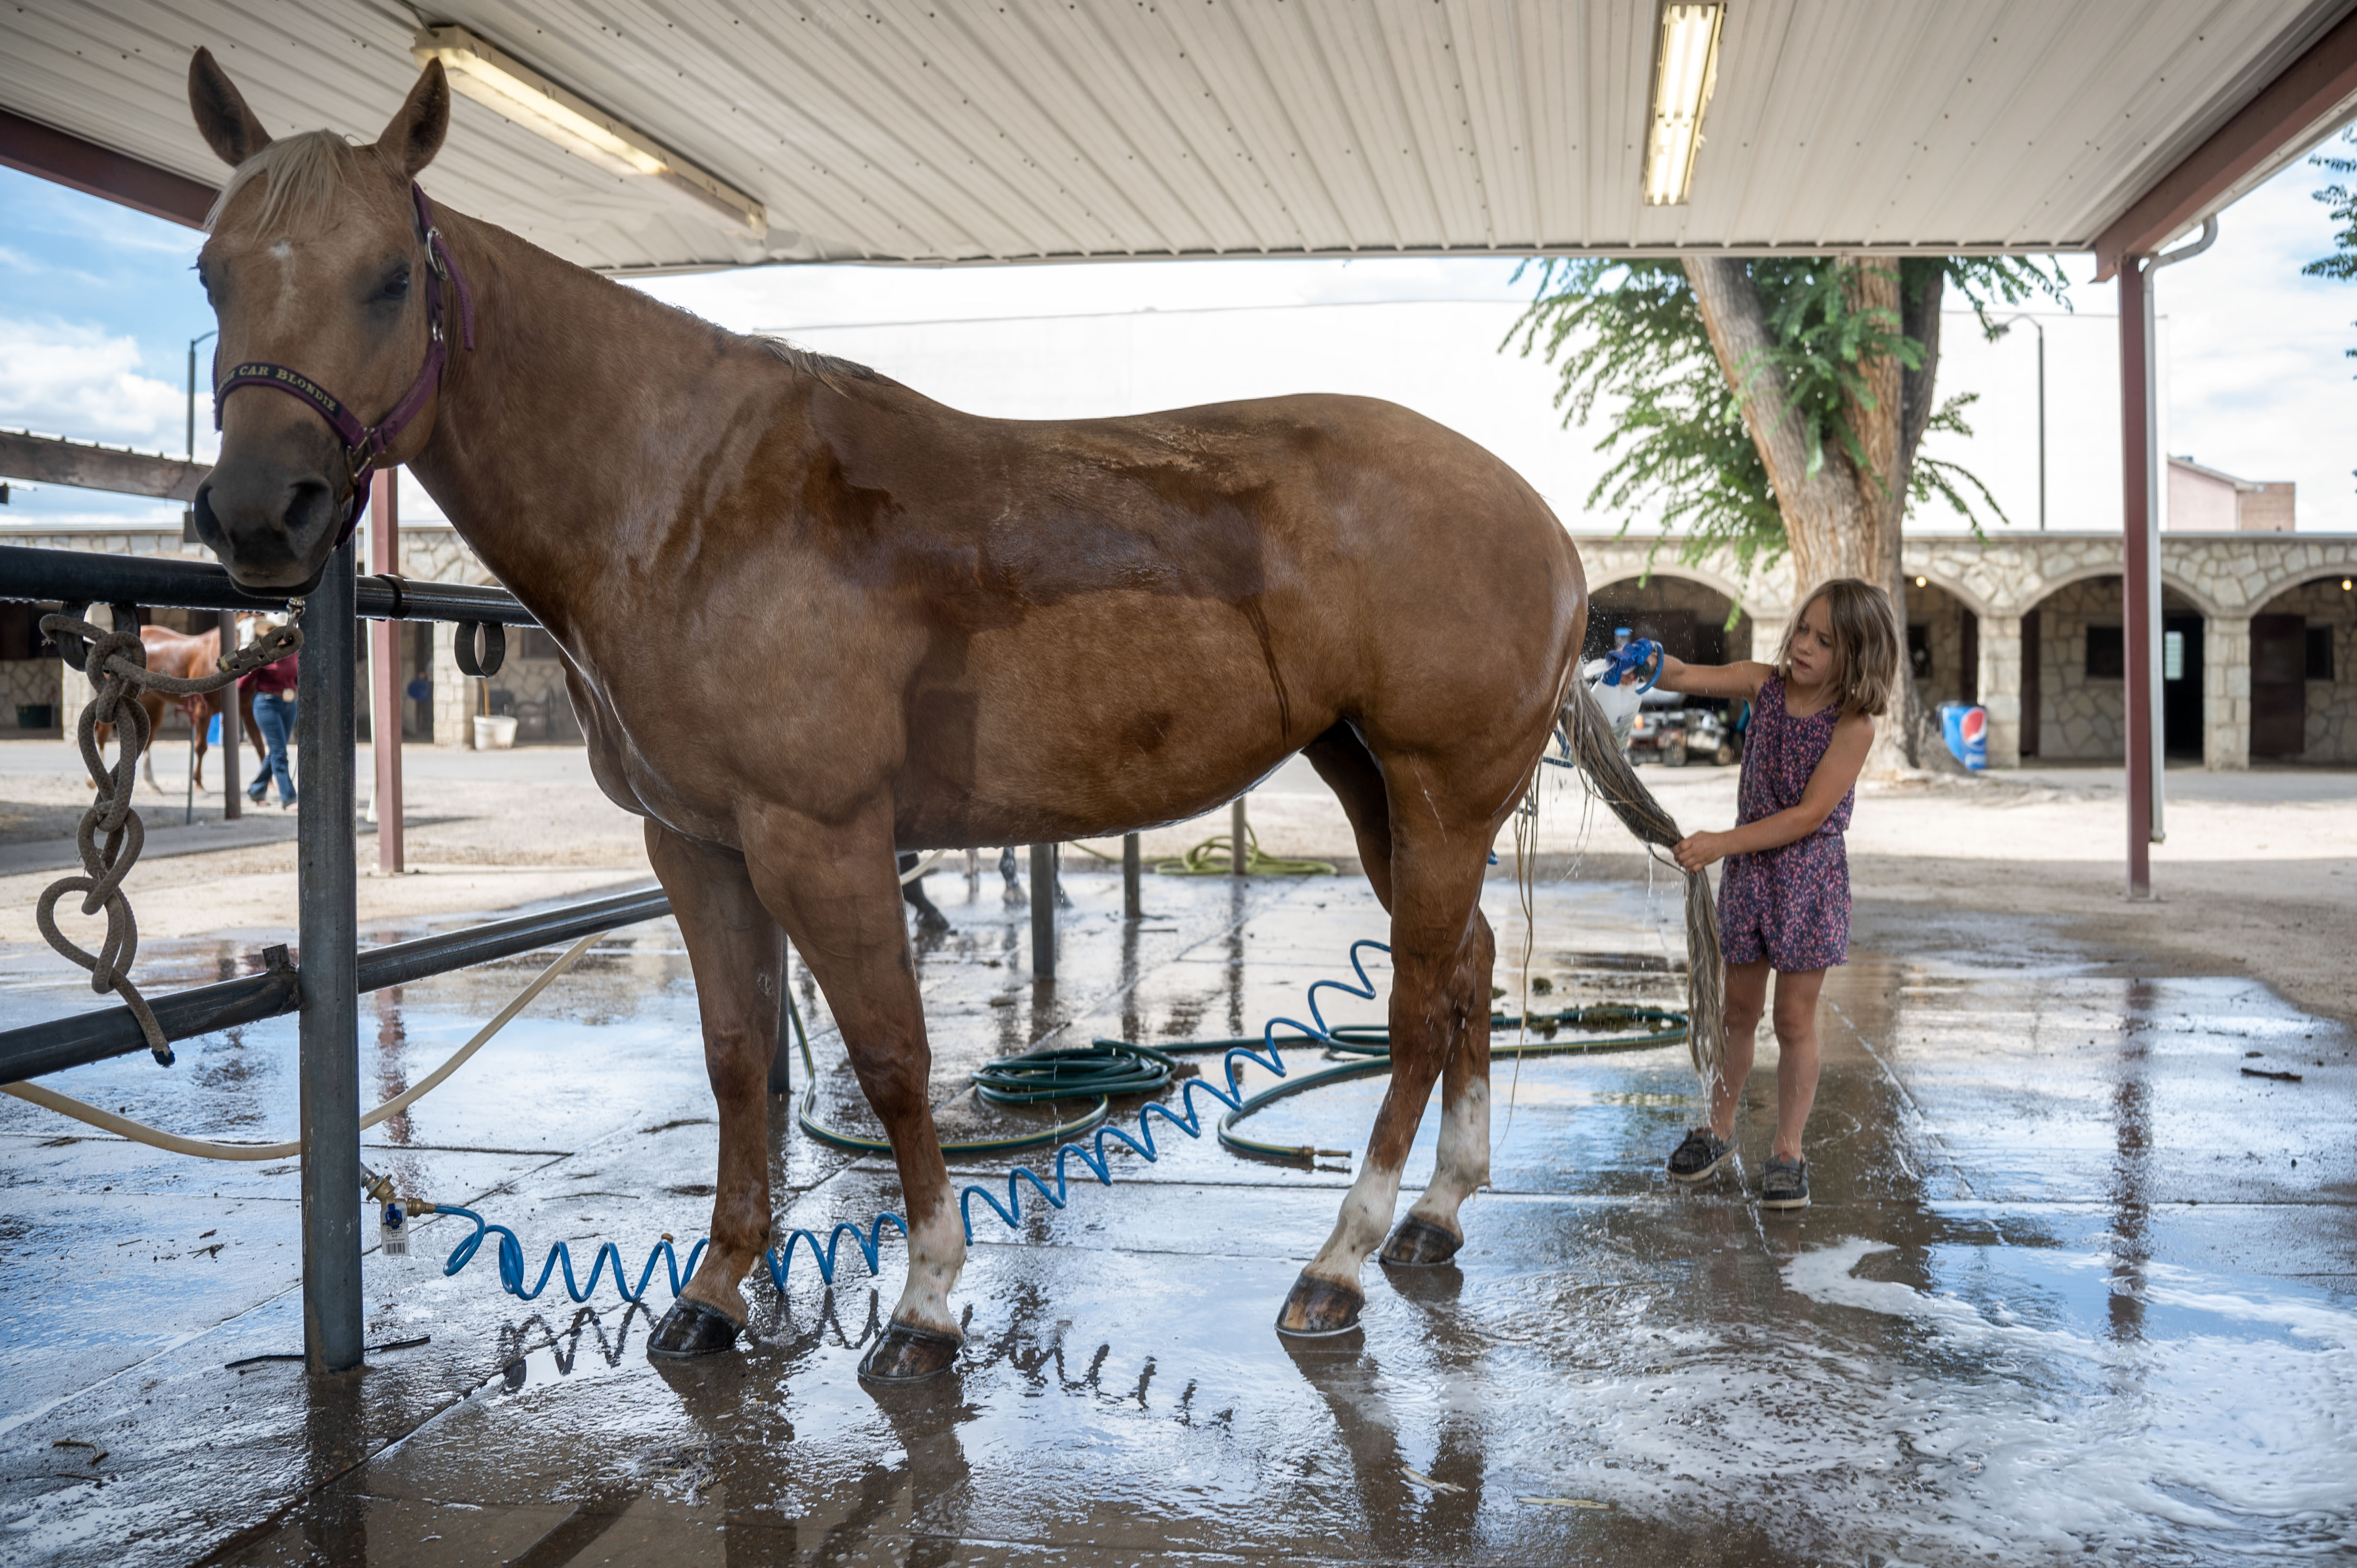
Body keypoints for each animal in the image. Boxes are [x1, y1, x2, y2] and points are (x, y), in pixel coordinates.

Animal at [182, 51, 1690, 1381]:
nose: (261, 516)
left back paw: (1336, 1265)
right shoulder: (699, 847)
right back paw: (1433, 1219)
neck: (685, 501)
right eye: (210, 271)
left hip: (1441, 787)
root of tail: (1544, 525)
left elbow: (895, 1061)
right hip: (1370, 776)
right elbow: (738, 1064)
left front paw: (923, 1308)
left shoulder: (824, 838)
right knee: (1471, 967)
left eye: (389, 278)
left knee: (1426, 1001)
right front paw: (715, 1298)